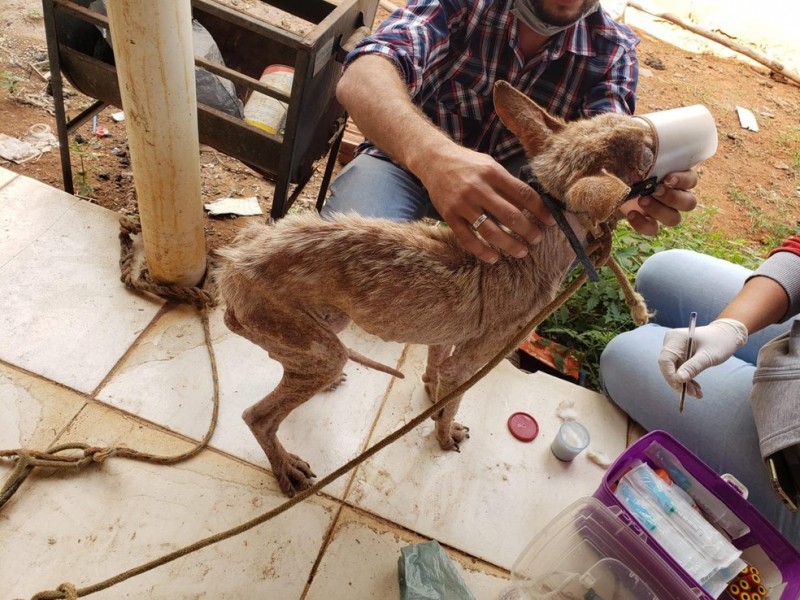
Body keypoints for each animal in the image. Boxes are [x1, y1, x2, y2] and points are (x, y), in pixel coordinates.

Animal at [214, 83, 656, 496]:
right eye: (647, 154)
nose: (652, 131)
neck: (534, 249)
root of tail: (231, 266)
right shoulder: (475, 360)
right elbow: (452, 401)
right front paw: (444, 435)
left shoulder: (448, 338)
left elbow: (436, 370)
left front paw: (430, 392)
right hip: (322, 349)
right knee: (257, 416)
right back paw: (285, 466)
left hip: (327, 328)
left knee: (283, 362)